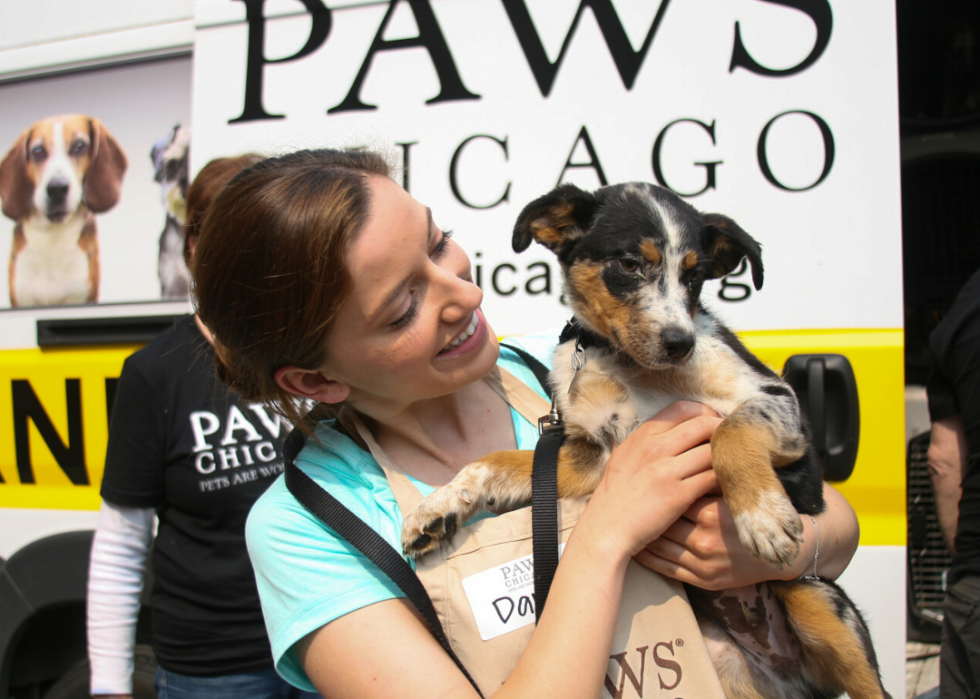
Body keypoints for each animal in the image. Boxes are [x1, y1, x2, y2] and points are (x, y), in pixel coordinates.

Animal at [402, 185, 892, 699]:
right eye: (630, 264)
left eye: (695, 275)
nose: (681, 343)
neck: (627, 365)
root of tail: (791, 680)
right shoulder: (591, 456)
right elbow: (499, 460)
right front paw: (436, 507)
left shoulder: (776, 399)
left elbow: (731, 428)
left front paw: (762, 517)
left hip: (823, 603)